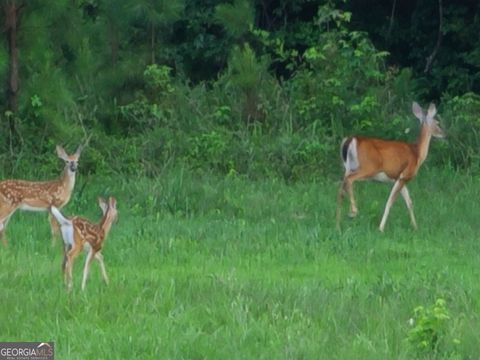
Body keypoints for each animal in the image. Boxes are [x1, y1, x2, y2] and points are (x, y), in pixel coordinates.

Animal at [336, 102, 444, 231]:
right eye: (437, 122)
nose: (444, 134)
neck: (417, 154)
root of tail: (350, 140)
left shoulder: (399, 178)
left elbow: (409, 202)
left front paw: (415, 227)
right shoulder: (405, 175)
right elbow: (390, 202)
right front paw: (381, 228)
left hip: (348, 167)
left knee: (341, 188)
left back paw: (338, 223)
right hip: (368, 167)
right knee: (349, 180)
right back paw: (353, 211)